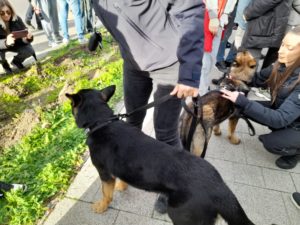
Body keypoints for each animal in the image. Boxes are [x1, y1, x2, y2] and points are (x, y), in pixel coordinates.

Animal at [67, 85, 254, 225]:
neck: (102, 121)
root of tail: (218, 186)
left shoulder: (104, 173)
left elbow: (106, 193)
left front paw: (102, 206)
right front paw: (122, 185)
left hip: (181, 215)